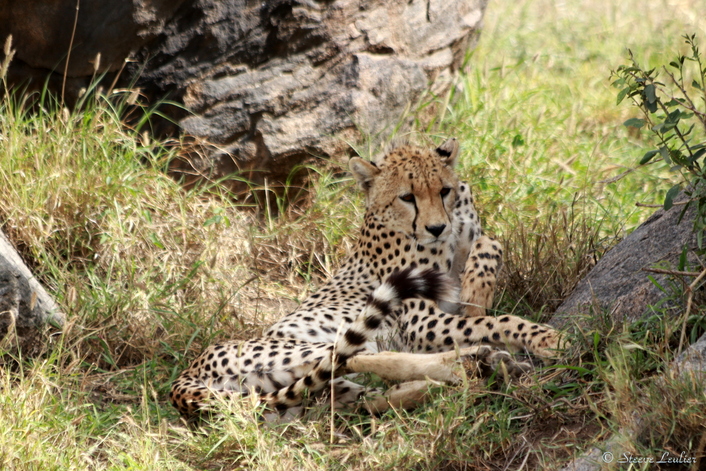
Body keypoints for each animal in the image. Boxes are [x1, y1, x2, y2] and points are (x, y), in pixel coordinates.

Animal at [170, 137, 568, 420]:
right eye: (407, 196)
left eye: (443, 190)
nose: (436, 228)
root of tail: (184, 378)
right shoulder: (421, 321)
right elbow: (493, 322)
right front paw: (546, 338)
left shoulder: (469, 235)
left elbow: (491, 244)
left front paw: (477, 292)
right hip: (313, 347)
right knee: (366, 358)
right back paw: (472, 362)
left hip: (316, 395)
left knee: (365, 400)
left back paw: (455, 381)